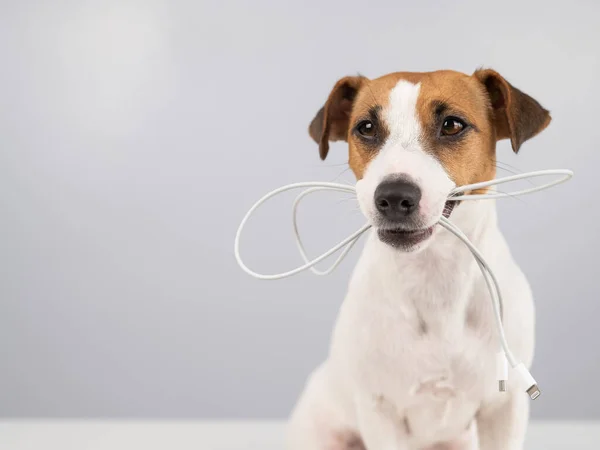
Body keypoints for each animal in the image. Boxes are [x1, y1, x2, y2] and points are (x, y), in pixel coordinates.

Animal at [286, 67, 548, 450]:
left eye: (452, 125)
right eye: (366, 127)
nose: (394, 197)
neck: (434, 277)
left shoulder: (505, 408)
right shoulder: (380, 410)